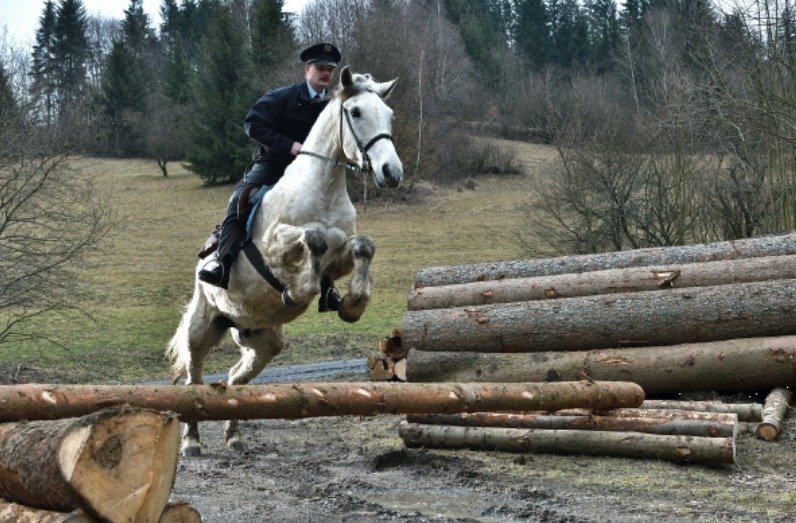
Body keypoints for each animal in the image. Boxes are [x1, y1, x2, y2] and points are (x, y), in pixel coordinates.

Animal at [168, 67, 404, 456]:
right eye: (355, 112)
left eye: (389, 115)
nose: (392, 172)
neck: (324, 191)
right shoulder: (274, 247)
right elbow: (314, 239)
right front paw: (298, 292)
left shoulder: (340, 257)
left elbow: (363, 247)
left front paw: (351, 304)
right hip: (202, 325)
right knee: (194, 379)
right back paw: (191, 442)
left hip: (264, 340)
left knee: (235, 379)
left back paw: (234, 435)